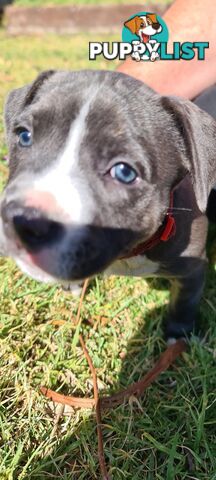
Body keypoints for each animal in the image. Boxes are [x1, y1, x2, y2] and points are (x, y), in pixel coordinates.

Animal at [0, 71, 216, 340]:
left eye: (124, 172)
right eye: (24, 136)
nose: (23, 219)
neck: (129, 255)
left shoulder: (193, 269)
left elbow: (184, 303)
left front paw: (178, 334)